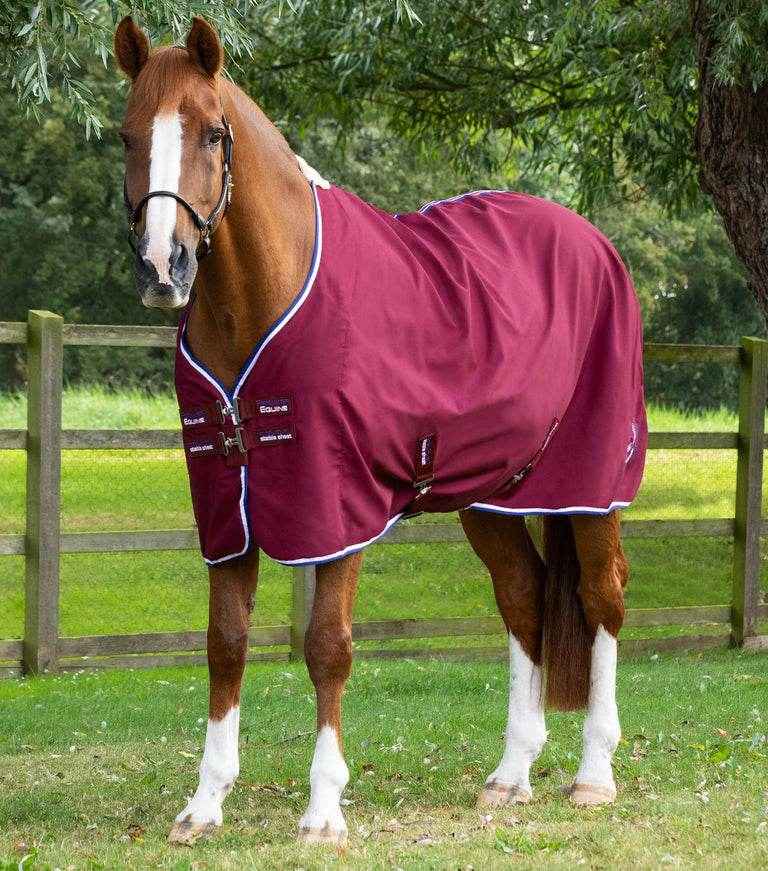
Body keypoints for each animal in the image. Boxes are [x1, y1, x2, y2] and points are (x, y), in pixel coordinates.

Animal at [114, 15, 646, 846]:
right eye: (128, 135)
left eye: (212, 133)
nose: (162, 269)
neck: (264, 297)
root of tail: (594, 244)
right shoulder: (226, 508)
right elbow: (225, 643)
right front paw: (204, 803)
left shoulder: (335, 506)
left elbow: (326, 646)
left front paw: (324, 808)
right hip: (488, 496)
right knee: (524, 596)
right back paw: (511, 773)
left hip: (591, 488)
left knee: (601, 597)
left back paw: (593, 774)